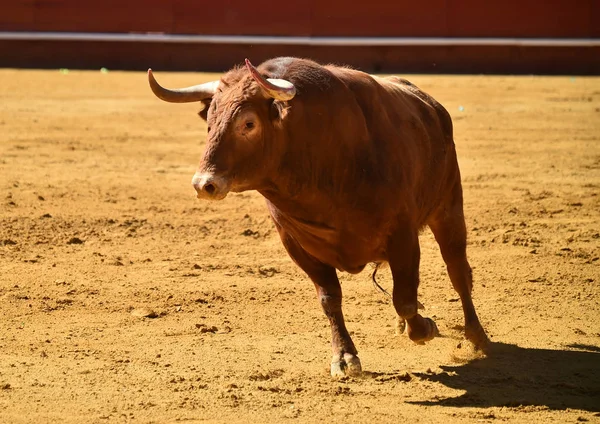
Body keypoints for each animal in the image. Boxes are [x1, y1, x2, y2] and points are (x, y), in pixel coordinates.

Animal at [148, 57, 490, 378]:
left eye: (248, 123)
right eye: (210, 122)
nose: (203, 184)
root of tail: (432, 107)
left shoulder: (402, 236)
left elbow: (404, 297)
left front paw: (424, 328)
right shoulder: (297, 244)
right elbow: (330, 298)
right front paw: (345, 357)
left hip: (449, 208)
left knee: (458, 271)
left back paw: (475, 336)